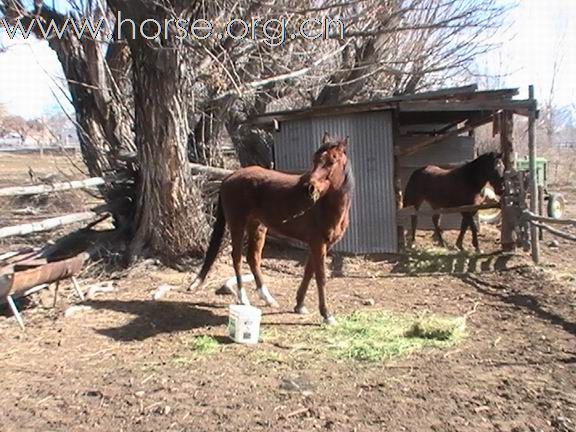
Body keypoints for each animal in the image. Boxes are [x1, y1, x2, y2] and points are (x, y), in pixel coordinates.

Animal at [189, 132, 354, 324]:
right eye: (315, 159)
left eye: (332, 161)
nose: (309, 189)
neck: (324, 205)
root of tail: (229, 177)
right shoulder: (317, 243)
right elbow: (320, 277)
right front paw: (326, 315)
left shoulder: (321, 244)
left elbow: (308, 272)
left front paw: (300, 305)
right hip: (237, 224)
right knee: (237, 258)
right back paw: (243, 298)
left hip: (258, 226)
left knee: (253, 259)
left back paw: (268, 298)